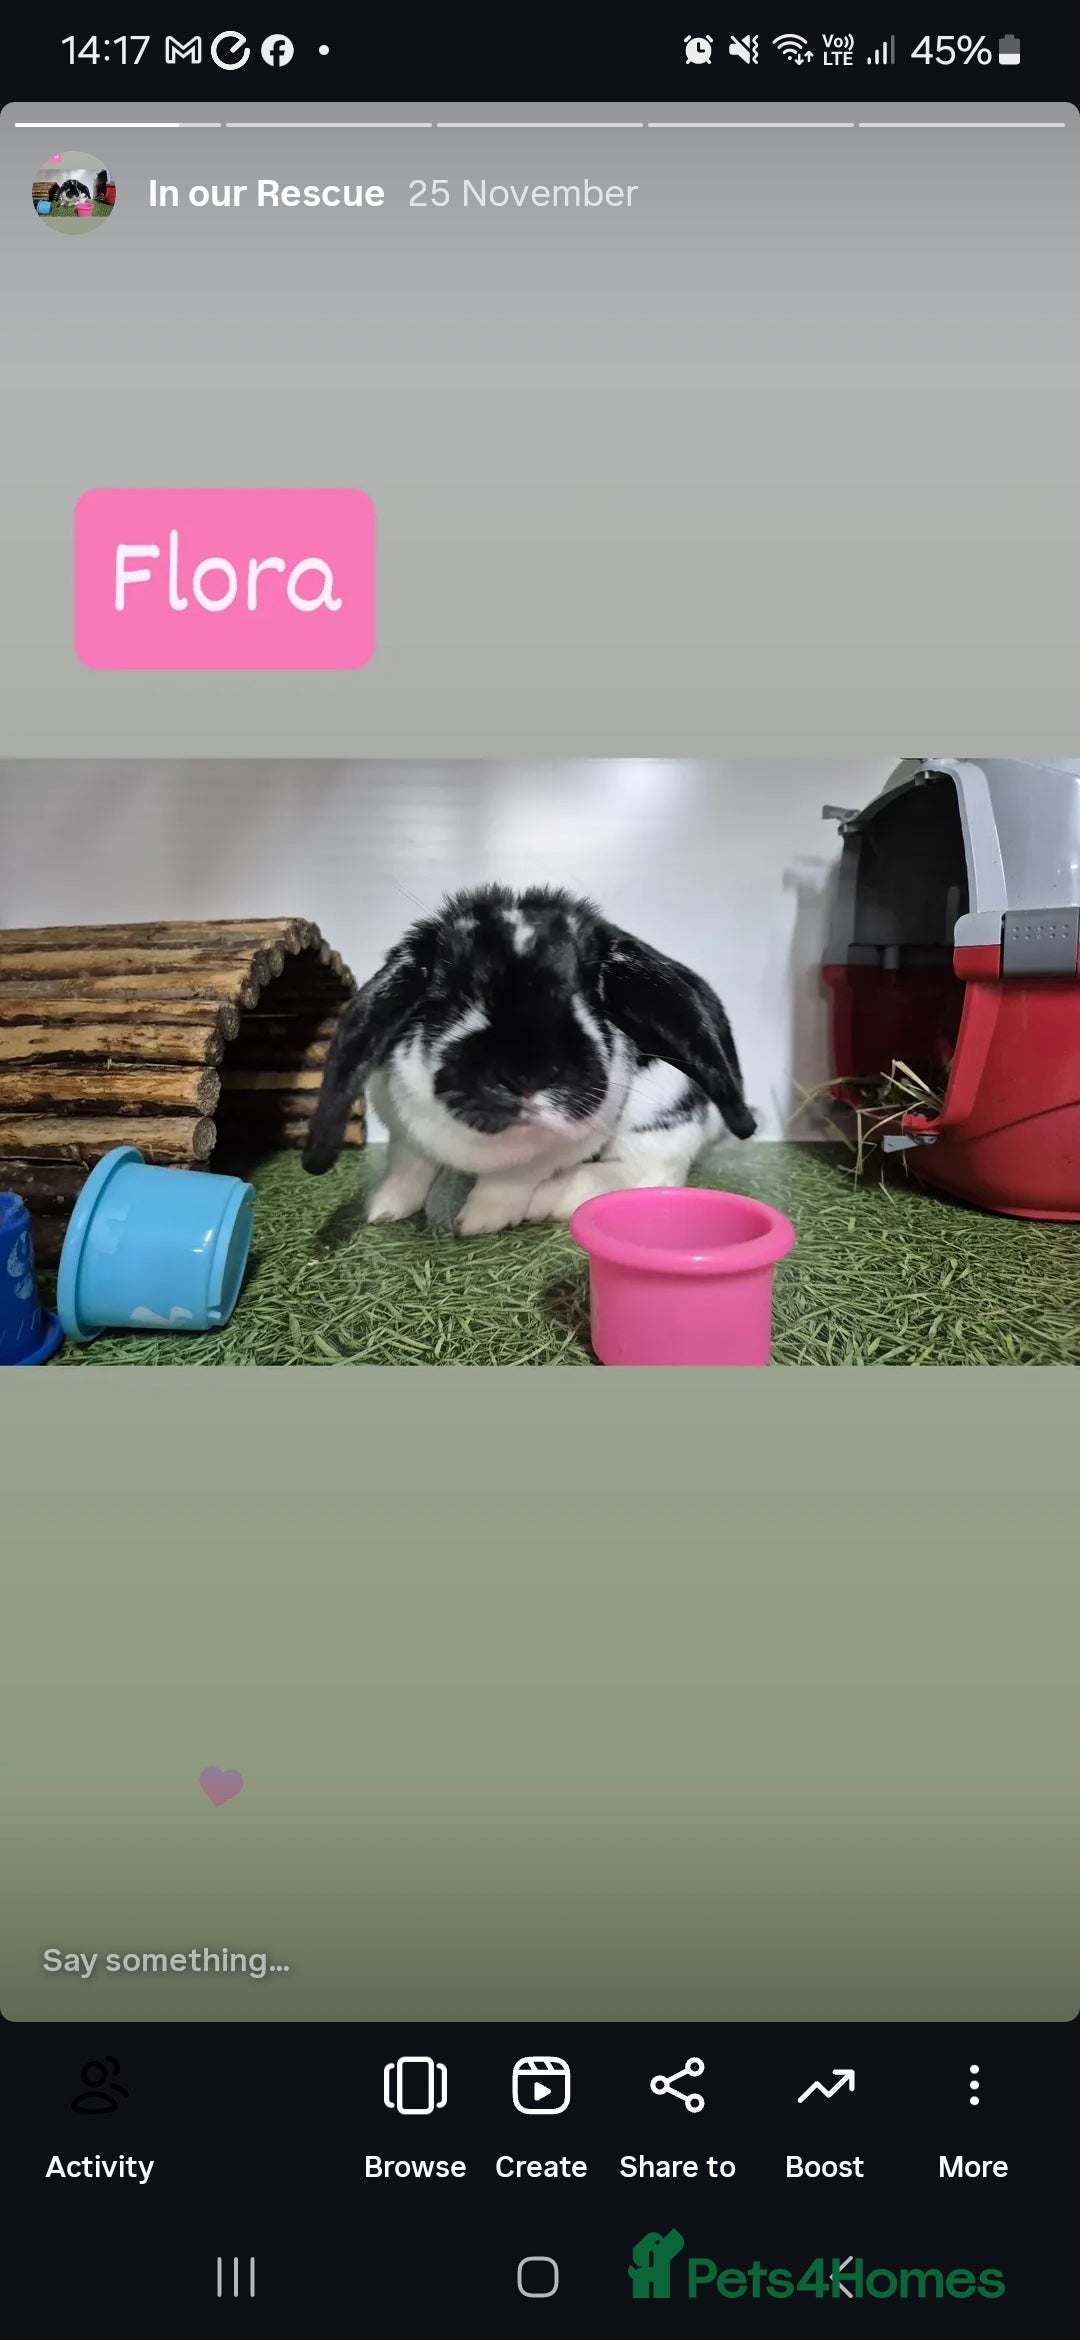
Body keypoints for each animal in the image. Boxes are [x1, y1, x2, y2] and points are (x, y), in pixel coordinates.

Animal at [302, 885, 756, 1235]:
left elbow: (510, 1181)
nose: (527, 1075)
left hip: (658, 1122)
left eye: (590, 994)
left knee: (650, 1172)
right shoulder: (403, 1132)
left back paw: (553, 1201)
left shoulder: (557, 1149)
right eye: (452, 995)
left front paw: (479, 1220)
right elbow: (407, 1166)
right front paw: (384, 1208)